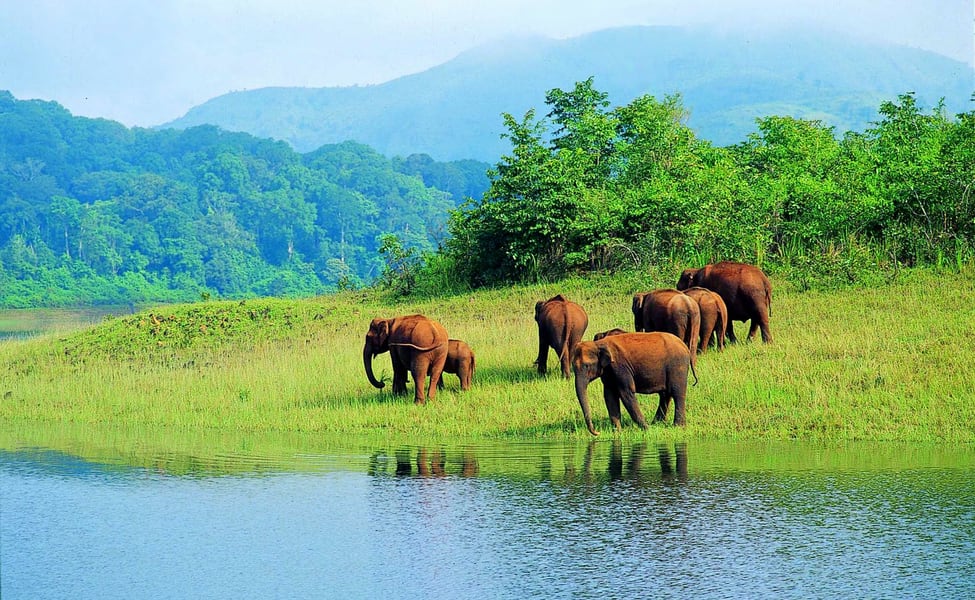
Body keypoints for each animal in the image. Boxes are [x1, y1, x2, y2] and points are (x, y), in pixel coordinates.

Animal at [572, 330, 700, 434]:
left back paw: (678, 427)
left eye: (586, 366)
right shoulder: (608, 371)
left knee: (677, 393)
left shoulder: (620, 367)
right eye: (573, 366)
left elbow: (626, 393)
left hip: (677, 366)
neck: (598, 344)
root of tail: (685, 347)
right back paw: (657, 423)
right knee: (665, 394)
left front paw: (647, 430)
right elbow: (609, 395)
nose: (597, 432)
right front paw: (617, 432)